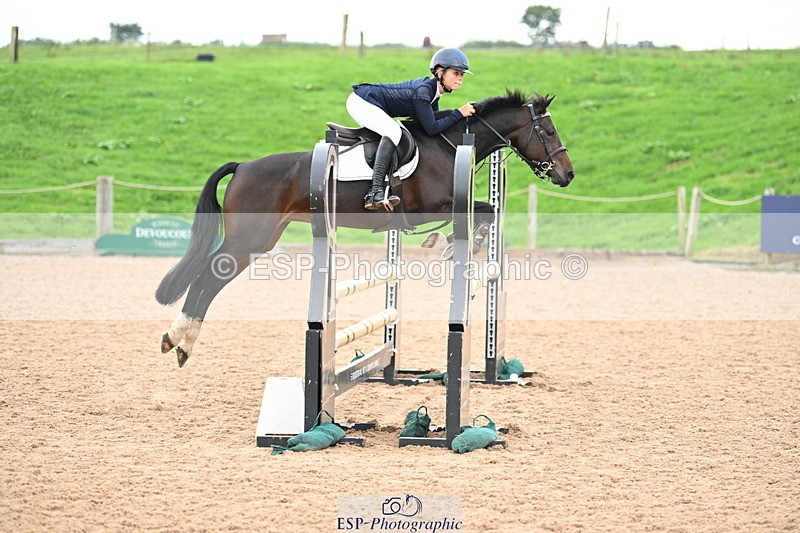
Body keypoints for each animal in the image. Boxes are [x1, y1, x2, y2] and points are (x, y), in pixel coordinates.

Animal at [156, 90, 574, 367]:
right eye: (550, 132)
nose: (567, 175)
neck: (449, 145)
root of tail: (242, 165)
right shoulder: (430, 208)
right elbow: (484, 211)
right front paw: (447, 244)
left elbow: (488, 213)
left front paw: (450, 245)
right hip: (247, 239)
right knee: (208, 278)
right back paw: (178, 340)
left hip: (260, 240)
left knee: (211, 281)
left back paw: (181, 343)